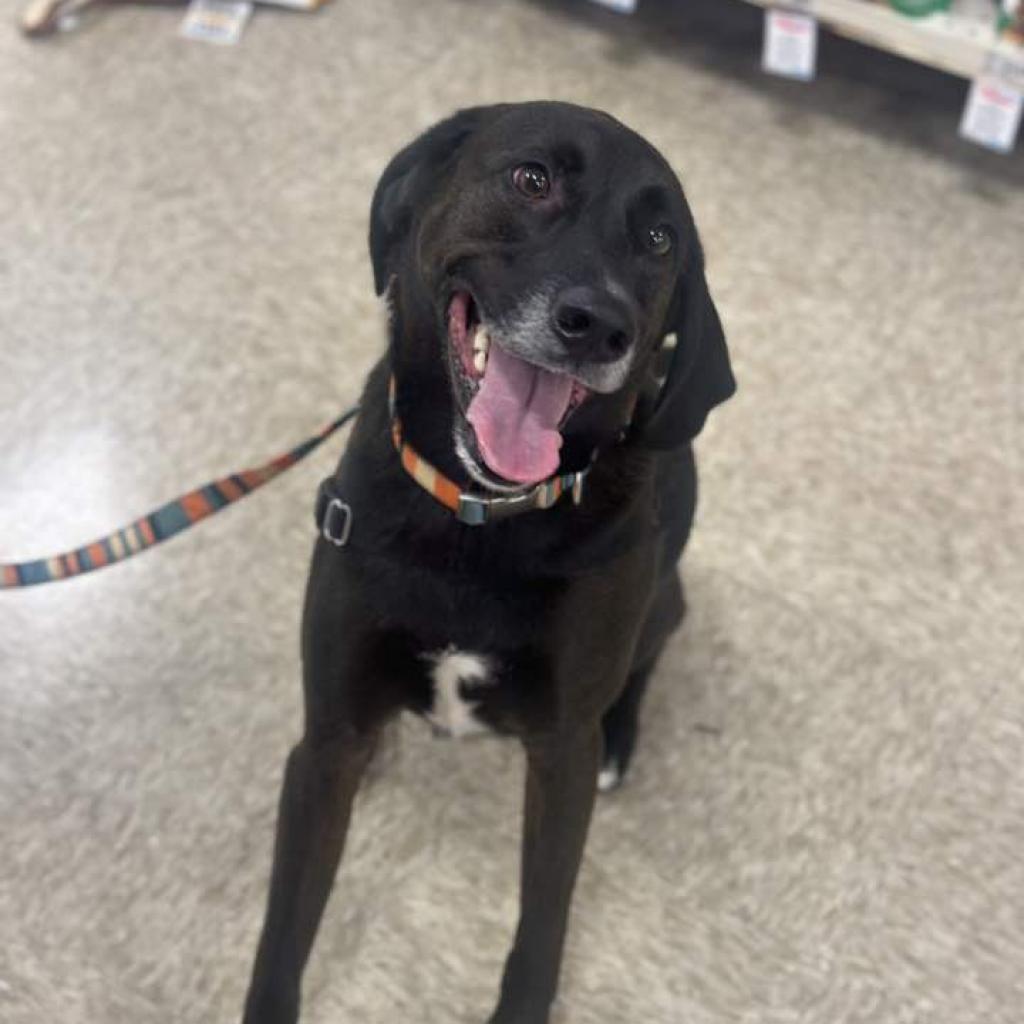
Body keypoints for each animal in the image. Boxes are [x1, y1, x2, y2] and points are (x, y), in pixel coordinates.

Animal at [239, 101, 737, 1024]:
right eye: (531, 178)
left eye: (659, 239)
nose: (599, 325)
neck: (479, 517)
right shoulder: (324, 745)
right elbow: (285, 931)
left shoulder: (560, 756)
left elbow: (542, 925)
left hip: (665, 601)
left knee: (644, 665)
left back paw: (623, 737)